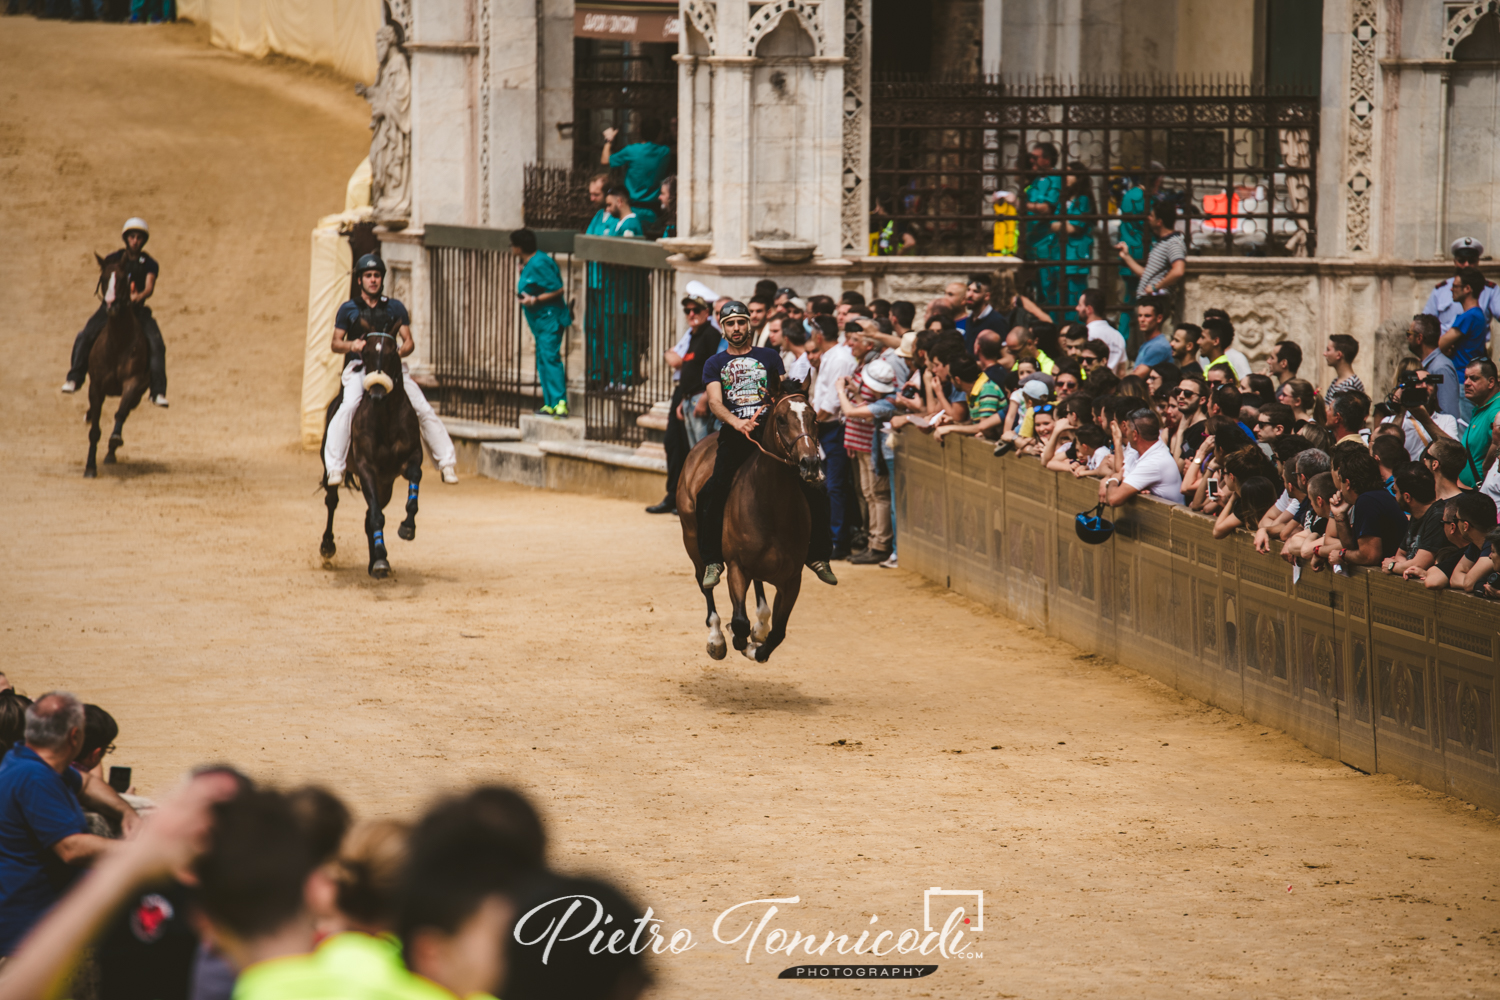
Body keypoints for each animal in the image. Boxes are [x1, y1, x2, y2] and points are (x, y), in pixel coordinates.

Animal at [84, 256, 153, 479]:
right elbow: (94, 431)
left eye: (124, 279)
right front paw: (90, 468)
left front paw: (114, 439)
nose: (111, 305)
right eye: (104, 278)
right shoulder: (96, 387)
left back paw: (111, 453)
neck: (117, 343)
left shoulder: (132, 383)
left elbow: (120, 412)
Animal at [318, 316, 423, 575]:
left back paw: (376, 560)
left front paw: (407, 527)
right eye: (364, 352)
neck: (386, 418)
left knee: (370, 513)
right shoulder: (366, 467)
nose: (376, 393)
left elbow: (414, 477)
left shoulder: (410, 457)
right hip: (331, 467)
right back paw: (328, 546)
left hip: (385, 484)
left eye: (393, 352)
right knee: (332, 501)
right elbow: (376, 515)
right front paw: (381, 558)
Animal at [678, 389, 822, 665]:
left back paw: (760, 626)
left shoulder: (792, 578)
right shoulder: (737, 567)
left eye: (814, 417)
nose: (810, 463)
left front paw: (757, 645)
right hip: (692, 541)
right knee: (705, 583)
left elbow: (778, 633)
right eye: (781, 419)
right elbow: (739, 622)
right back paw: (716, 637)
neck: (772, 506)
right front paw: (736, 638)